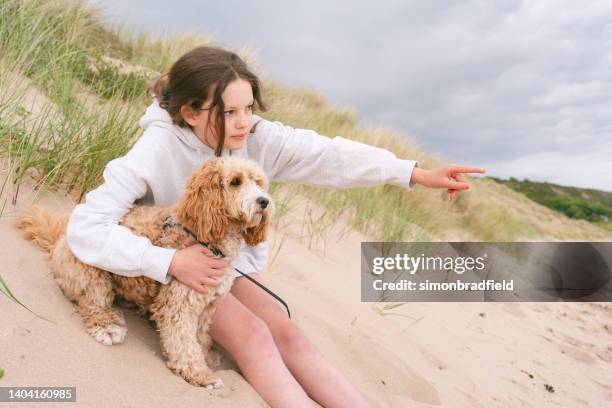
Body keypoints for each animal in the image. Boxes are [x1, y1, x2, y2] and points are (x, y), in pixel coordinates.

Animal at [16, 156, 272, 388]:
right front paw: (199, 373)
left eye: (258, 182)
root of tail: (60, 237)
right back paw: (108, 326)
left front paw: (206, 356)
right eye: (235, 182)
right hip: (91, 274)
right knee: (94, 303)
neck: (204, 237)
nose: (264, 201)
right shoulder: (180, 304)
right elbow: (184, 341)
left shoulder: (208, 305)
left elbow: (199, 336)